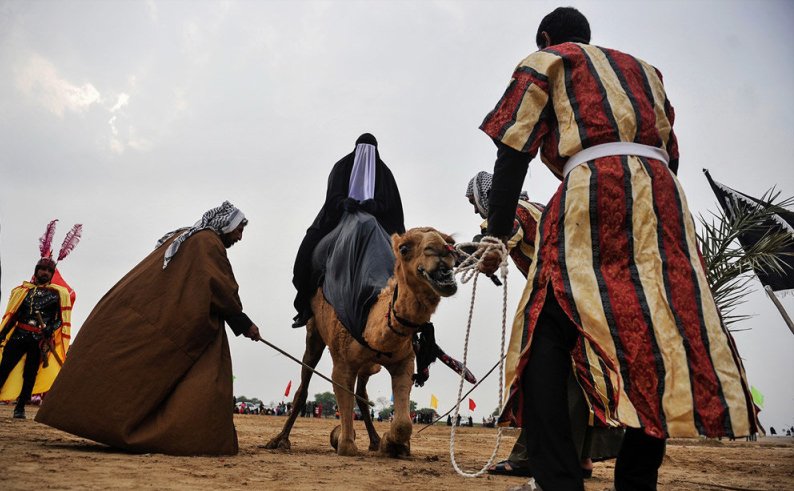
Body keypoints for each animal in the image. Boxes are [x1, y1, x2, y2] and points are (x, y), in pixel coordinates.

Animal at [262, 227, 454, 458]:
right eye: (404, 248)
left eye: (451, 242)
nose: (442, 251)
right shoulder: (343, 364)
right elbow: (347, 444)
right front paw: (345, 439)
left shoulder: (404, 361)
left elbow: (403, 423)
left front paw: (393, 444)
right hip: (314, 332)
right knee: (304, 385)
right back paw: (280, 440)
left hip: (366, 366)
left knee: (362, 394)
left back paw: (375, 440)